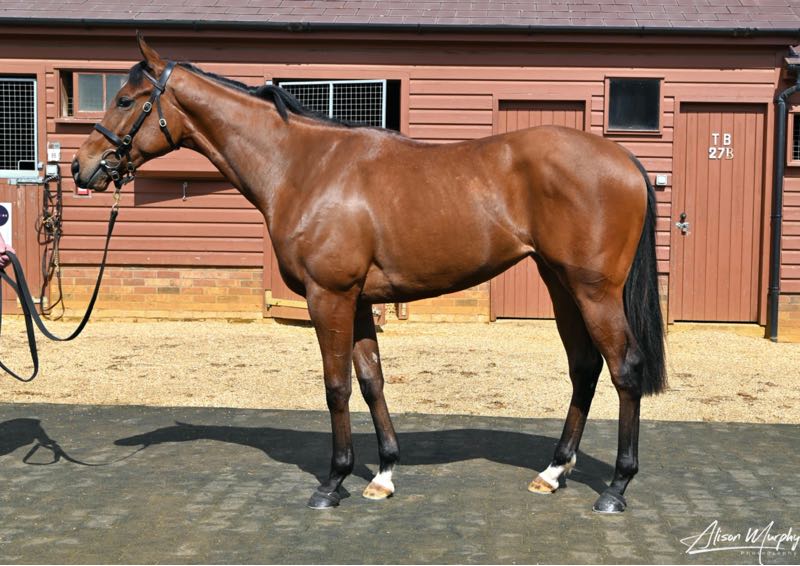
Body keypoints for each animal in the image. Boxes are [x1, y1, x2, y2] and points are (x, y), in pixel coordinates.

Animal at [73, 34, 666, 514]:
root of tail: (625, 160)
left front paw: (332, 482)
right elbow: (371, 379)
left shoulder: (328, 296)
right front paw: (382, 474)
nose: (83, 166)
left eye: (125, 100)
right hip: (561, 285)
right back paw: (554, 471)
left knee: (625, 368)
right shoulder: (357, 300)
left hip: (594, 291)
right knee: (584, 367)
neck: (304, 167)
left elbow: (336, 385)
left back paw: (616, 488)